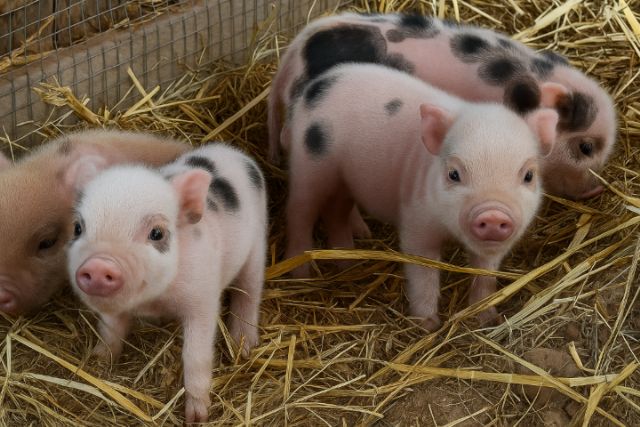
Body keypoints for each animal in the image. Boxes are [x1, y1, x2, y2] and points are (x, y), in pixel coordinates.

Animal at [67, 144, 267, 423]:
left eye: (157, 233)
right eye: (77, 228)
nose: (98, 265)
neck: (155, 301)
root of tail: (236, 152)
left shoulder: (202, 298)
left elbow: (195, 354)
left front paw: (197, 418)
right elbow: (110, 331)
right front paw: (98, 362)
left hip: (258, 243)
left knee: (250, 290)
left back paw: (244, 346)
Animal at [283, 63, 558, 329]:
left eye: (529, 176)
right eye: (453, 174)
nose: (493, 215)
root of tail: (316, 85)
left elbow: (486, 275)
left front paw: (487, 318)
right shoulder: (417, 220)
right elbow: (423, 273)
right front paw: (428, 326)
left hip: (345, 180)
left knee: (335, 212)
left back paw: (351, 259)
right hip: (309, 166)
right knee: (299, 212)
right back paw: (302, 273)